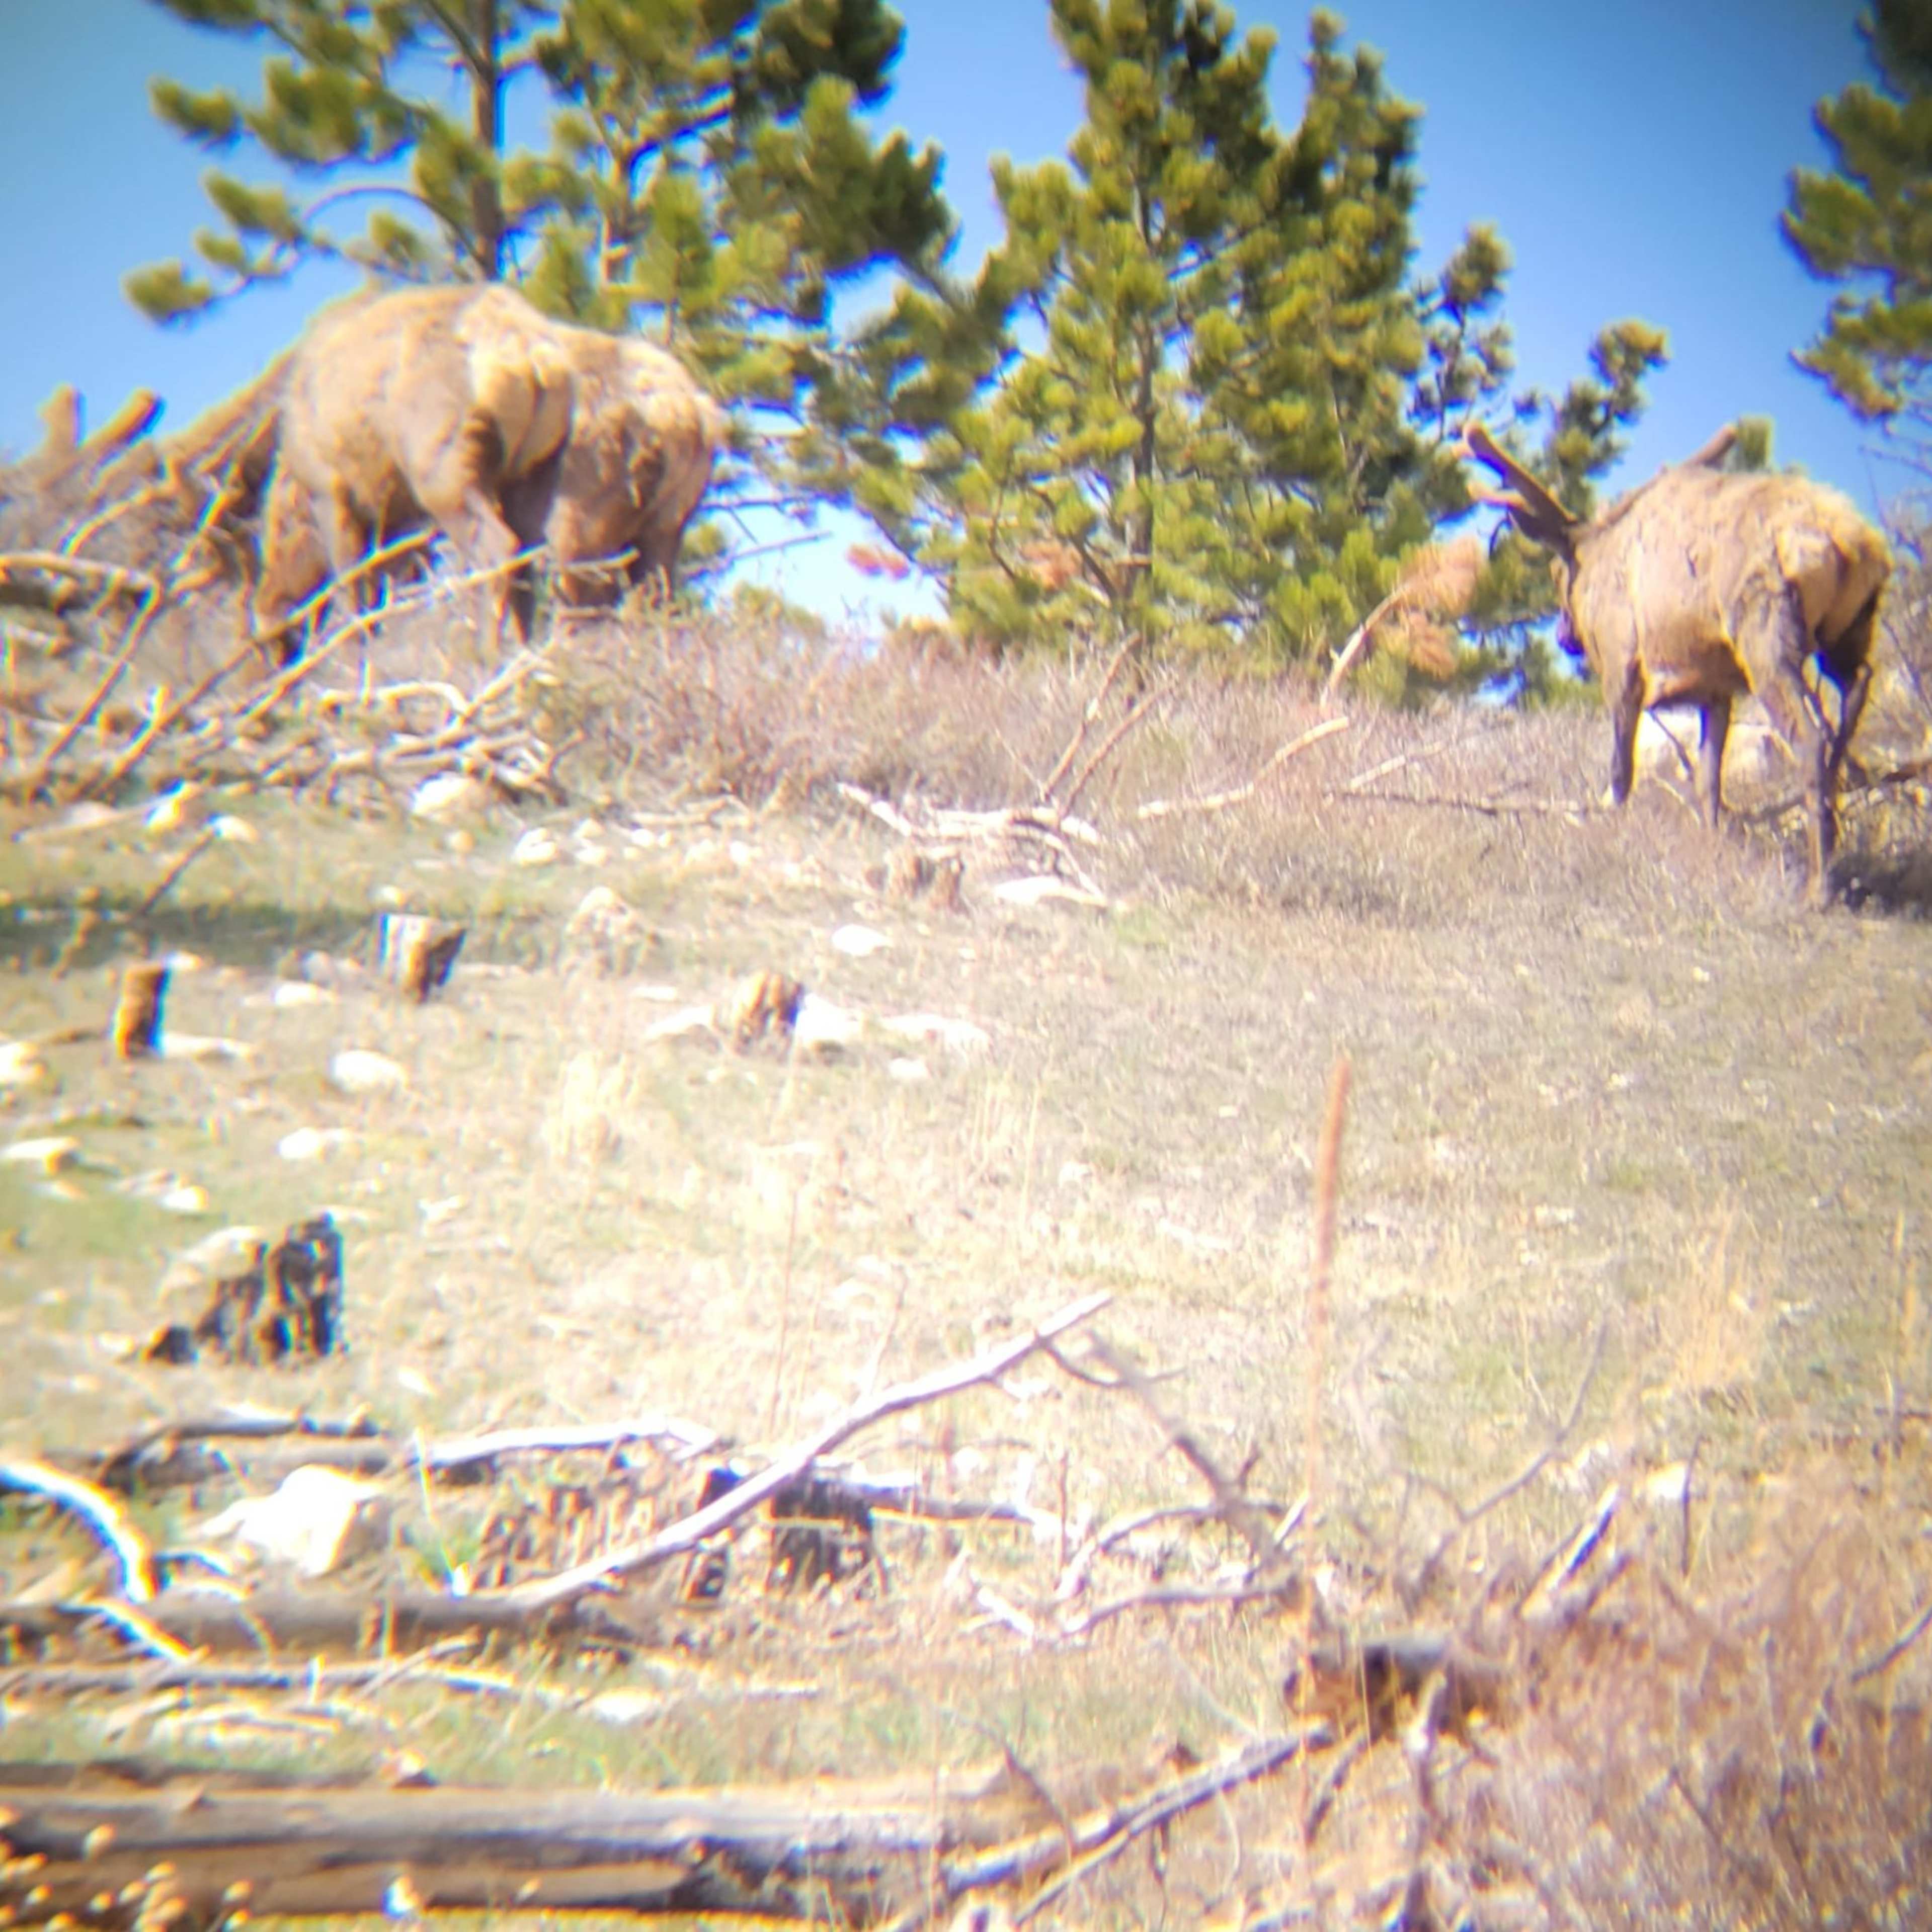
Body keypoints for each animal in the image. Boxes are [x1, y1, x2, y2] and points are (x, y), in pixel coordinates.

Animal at [1463, 421, 1892, 904]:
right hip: (1851, 629)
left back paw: (1818, 888)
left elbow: (1621, 771)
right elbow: (1708, 783)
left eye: (1557, 575)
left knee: (1810, 736)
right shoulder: (1716, 684)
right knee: (1856, 695)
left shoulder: (1622, 661)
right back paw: (1838, 833)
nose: (1564, 636)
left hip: (1764, 631)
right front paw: (1711, 849)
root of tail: (1853, 544)